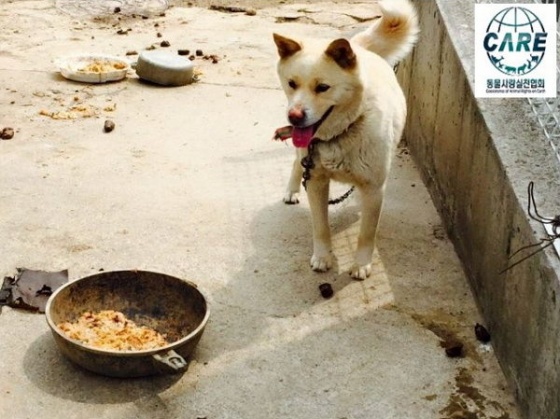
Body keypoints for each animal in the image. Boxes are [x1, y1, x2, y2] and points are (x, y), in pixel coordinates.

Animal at [274, 0, 418, 282]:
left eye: (322, 87)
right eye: (292, 83)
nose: (294, 116)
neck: (341, 133)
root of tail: (359, 48)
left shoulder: (373, 188)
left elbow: (367, 234)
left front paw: (361, 264)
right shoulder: (316, 180)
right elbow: (321, 226)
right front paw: (323, 257)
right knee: (297, 163)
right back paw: (292, 190)